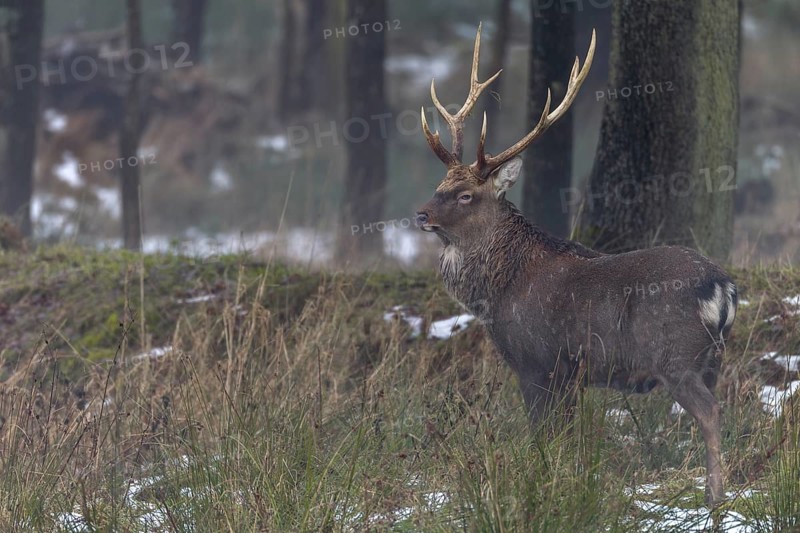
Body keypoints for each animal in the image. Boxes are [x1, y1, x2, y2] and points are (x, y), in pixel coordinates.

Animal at [415, 25, 737, 505]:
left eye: (466, 195)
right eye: (440, 184)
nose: (421, 214)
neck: (497, 290)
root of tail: (723, 289)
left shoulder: (538, 361)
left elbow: (543, 436)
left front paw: (542, 484)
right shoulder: (570, 374)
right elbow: (564, 437)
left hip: (674, 354)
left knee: (710, 411)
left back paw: (715, 496)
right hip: (711, 359)